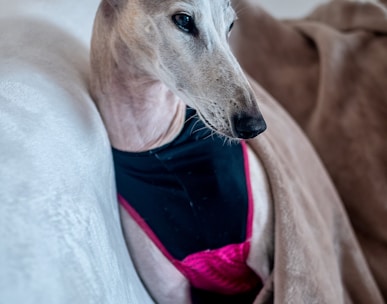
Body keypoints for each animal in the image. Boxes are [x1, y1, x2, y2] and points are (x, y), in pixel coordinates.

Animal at [90, 0, 272, 302]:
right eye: (184, 20)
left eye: (231, 24)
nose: (254, 124)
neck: (160, 146)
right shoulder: (169, 291)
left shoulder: (265, 264)